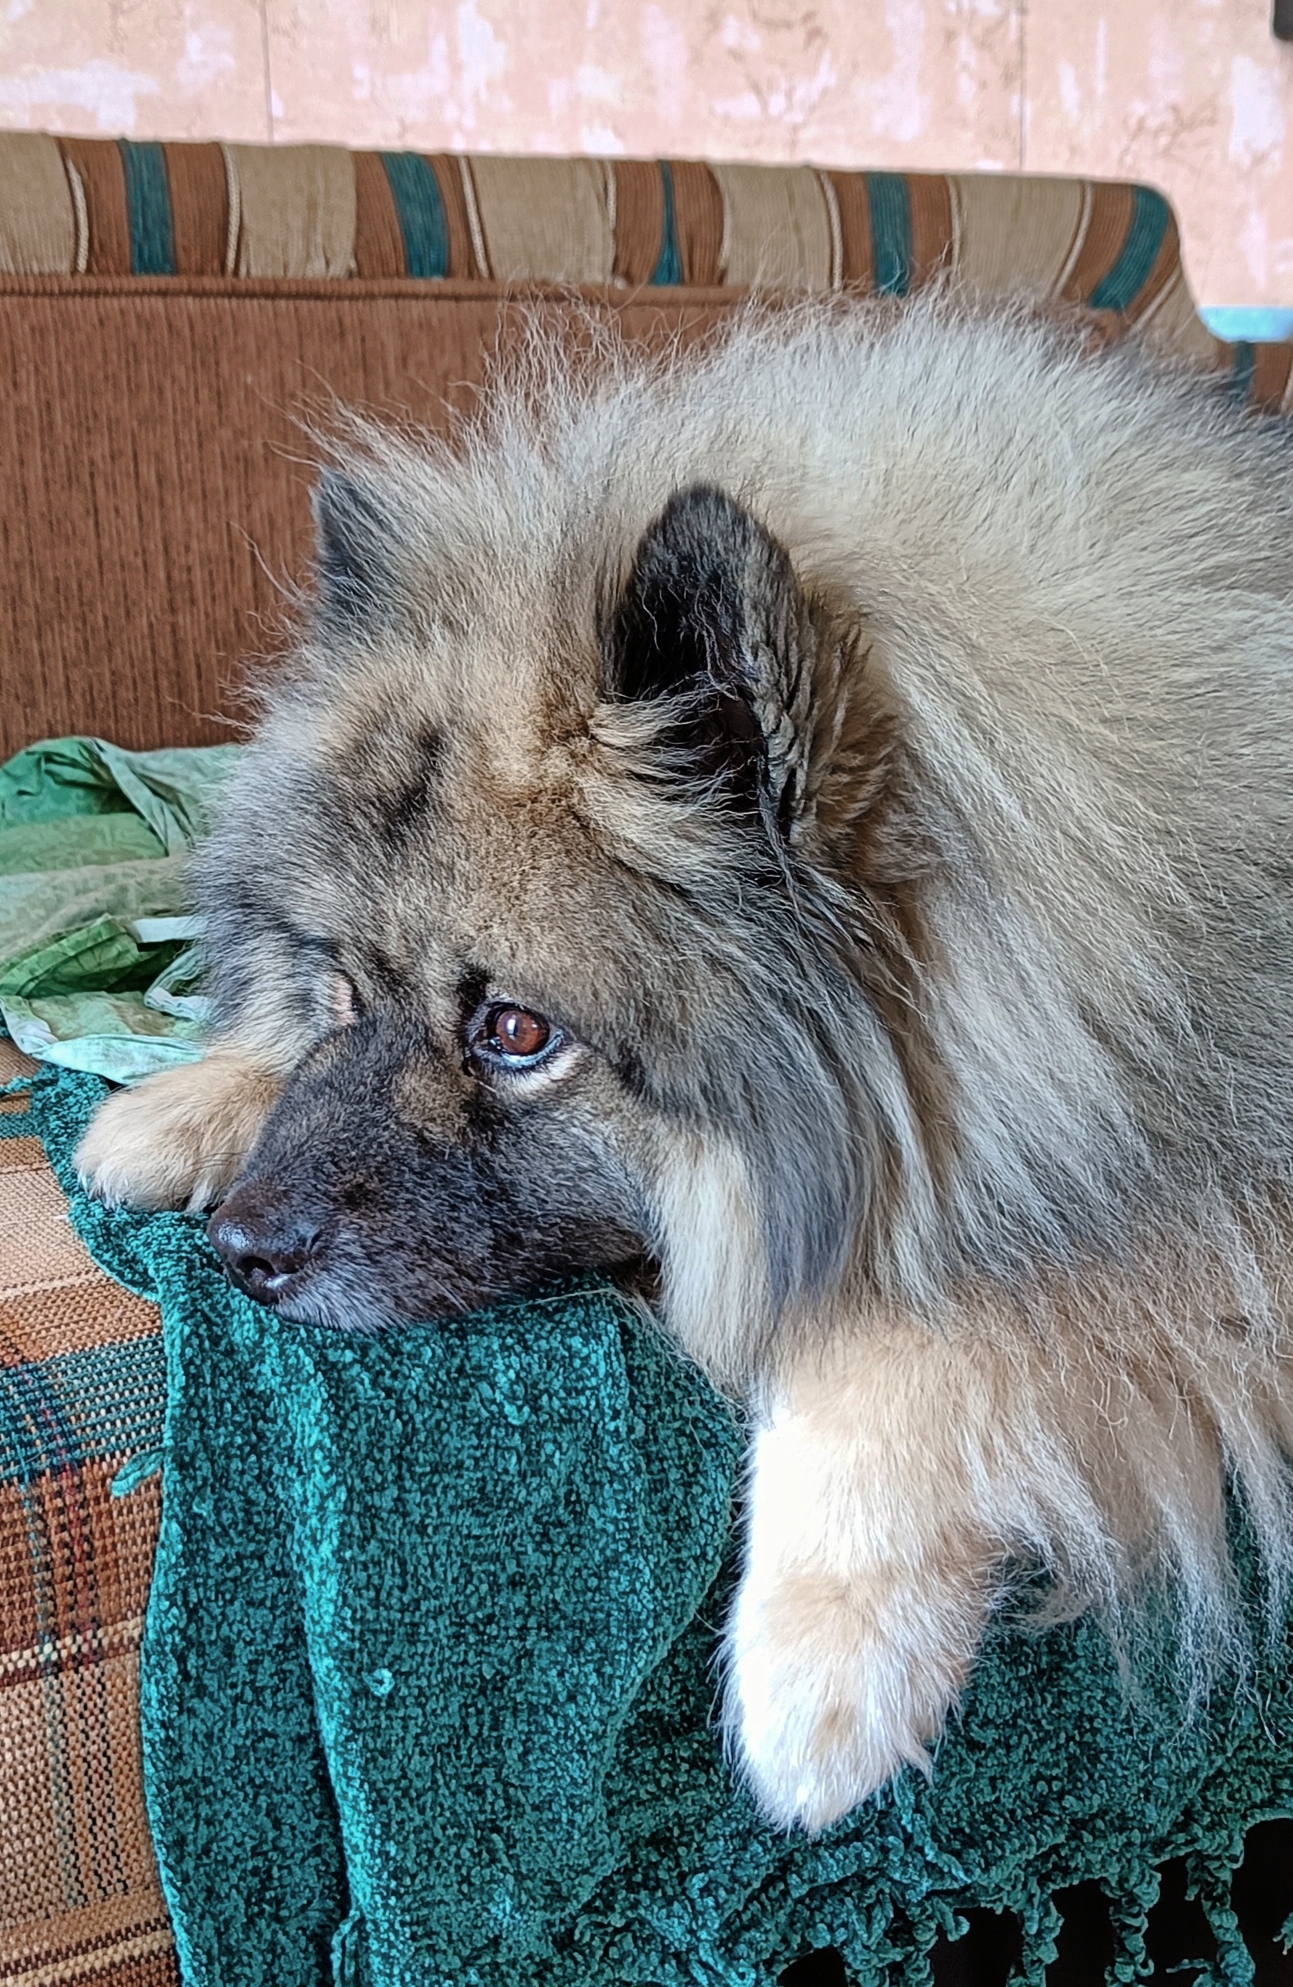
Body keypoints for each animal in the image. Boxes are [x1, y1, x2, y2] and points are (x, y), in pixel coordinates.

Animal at [75, 295, 1293, 1831]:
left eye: (517, 1032)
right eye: (341, 983)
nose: (240, 1251)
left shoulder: (1210, 1194)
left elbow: (923, 1321)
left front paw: (823, 1653)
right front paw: (178, 1103)